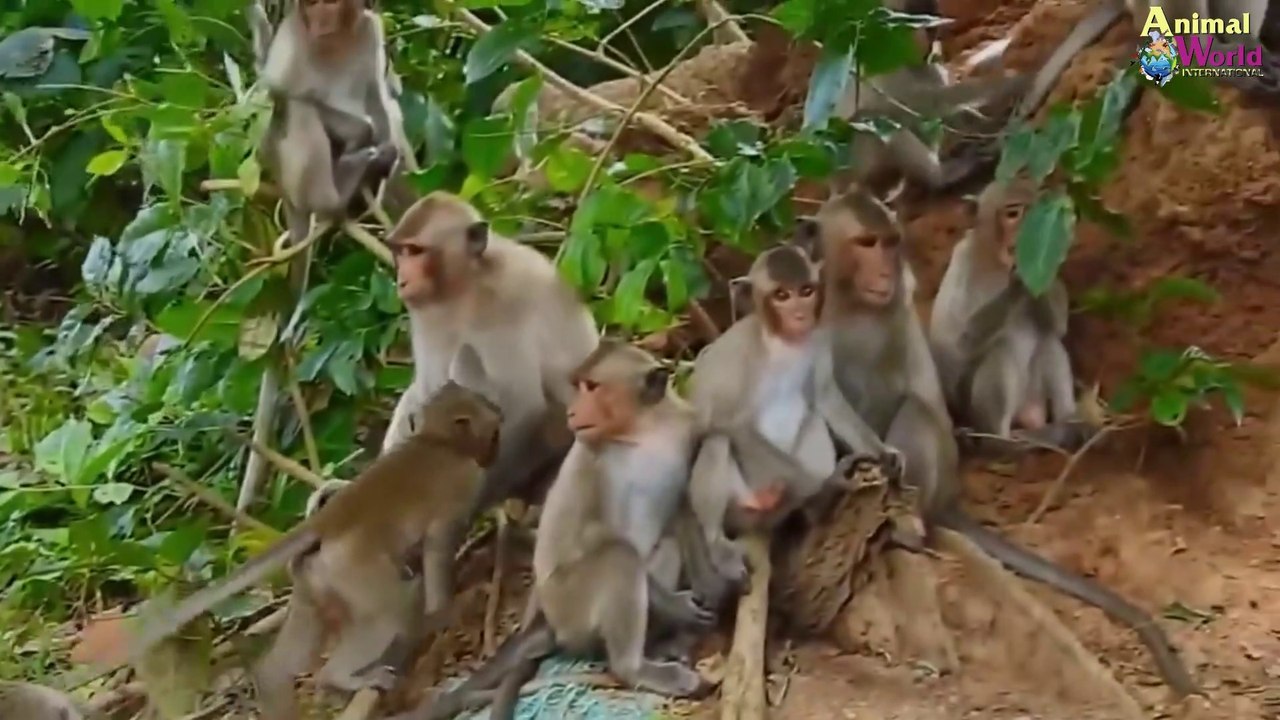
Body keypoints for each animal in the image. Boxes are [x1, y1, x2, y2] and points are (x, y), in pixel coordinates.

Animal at [123, 376, 503, 719]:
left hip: (312, 574)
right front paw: (445, 608)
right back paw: (341, 677)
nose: (497, 411)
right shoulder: (463, 485)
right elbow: (439, 546)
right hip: (353, 567)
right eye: (482, 406)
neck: (436, 440)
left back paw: (273, 685)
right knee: (393, 608)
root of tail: (326, 522)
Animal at [382, 192, 599, 521]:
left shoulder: (503, 303)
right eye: (401, 252)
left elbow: (524, 407)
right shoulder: (426, 311)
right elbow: (425, 390)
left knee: (467, 358)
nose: (402, 279)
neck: (467, 281)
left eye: (415, 251)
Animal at [388, 342, 718, 720]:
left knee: (662, 544)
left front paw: (710, 581)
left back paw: (664, 640)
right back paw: (634, 666)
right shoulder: (591, 461)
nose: (574, 410)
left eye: (592, 387)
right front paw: (680, 606)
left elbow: (682, 508)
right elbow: (597, 536)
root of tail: (548, 619)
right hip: (570, 605)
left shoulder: (686, 426)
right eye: (581, 386)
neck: (642, 430)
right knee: (619, 556)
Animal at [687, 242, 902, 597]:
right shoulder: (740, 355)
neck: (781, 342)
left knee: (812, 419)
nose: (800, 315)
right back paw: (720, 542)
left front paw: (882, 453)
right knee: (718, 441)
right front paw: (826, 485)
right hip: (742, 502)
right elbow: (729, 422)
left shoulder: (820, 336)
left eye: (806, 291)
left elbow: (825, 395)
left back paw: (815, 506)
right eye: (781, 295)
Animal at [929, 177, 1093, 453]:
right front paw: (1018, 280)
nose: (1029, 236)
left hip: (1033, 395)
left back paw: (1068, 422)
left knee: (1049, 342)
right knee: (1001, 350)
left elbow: (1058, 328)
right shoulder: (962, 262)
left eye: (1036, 211)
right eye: (1013, 213)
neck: (996, 262)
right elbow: (958, 344)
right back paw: (1002, 442)